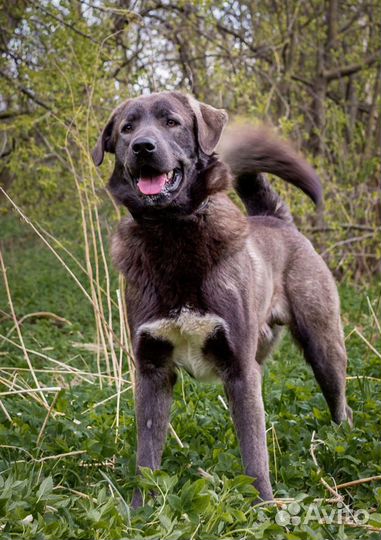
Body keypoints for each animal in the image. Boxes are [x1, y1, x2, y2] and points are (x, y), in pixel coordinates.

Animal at [91, 93, 350, 506]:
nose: (142, 147)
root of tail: (276, 219)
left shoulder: (240, 370)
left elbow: (254, 455)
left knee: (340, 403)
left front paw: (263, 507)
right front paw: (139, 510)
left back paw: (344, 440)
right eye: (126, 128)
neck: (172, 233)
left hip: (323, 346)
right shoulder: (152, 371)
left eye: (171, 122)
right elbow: (146, 456)